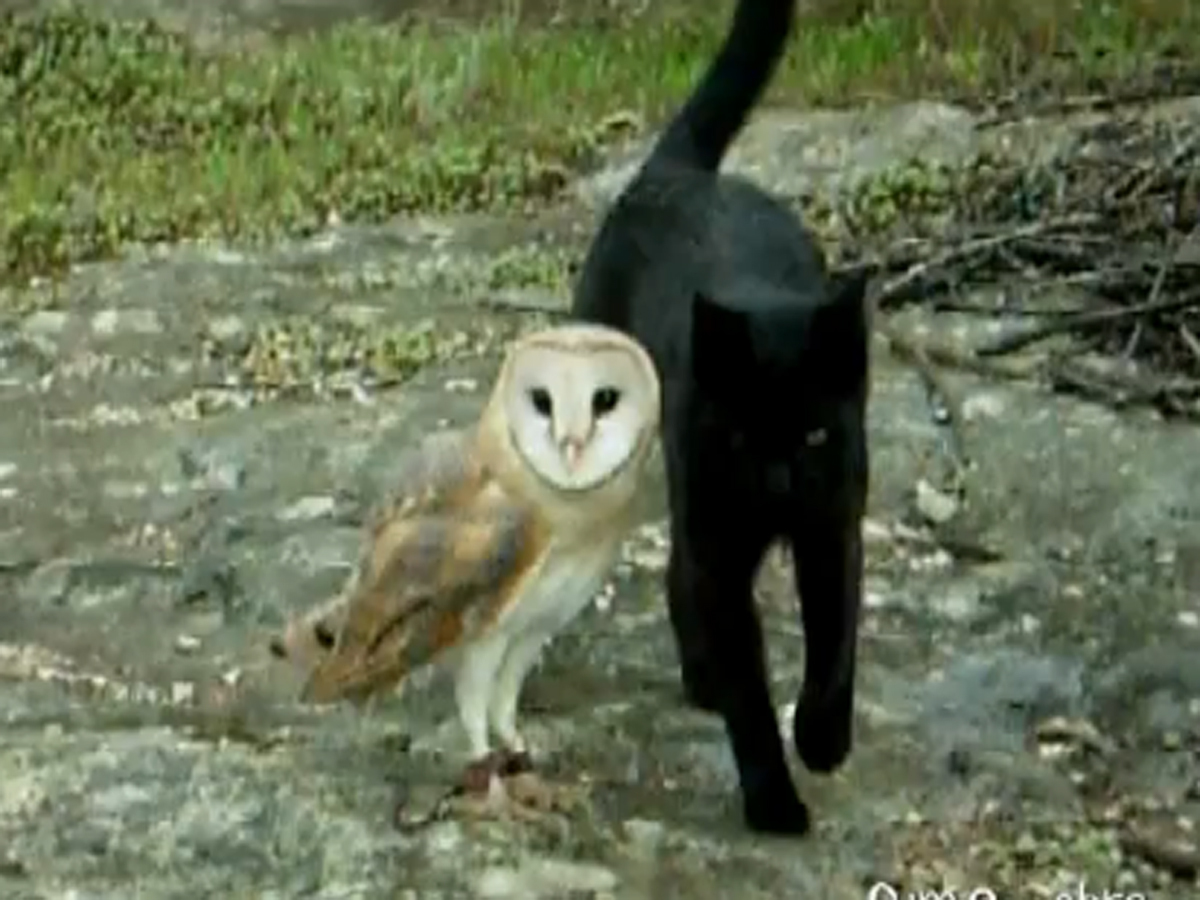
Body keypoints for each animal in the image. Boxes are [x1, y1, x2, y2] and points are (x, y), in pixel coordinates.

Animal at [571, 0, 873, 840]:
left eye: (815, 434)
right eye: (743, 437)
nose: (778, 481)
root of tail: (677, 173)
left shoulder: (832, 526)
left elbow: (835, 640)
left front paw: (823, 737)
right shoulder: (721, 544)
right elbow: (748, 683)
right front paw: (773, 798)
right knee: (680, 572)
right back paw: (704, 678)